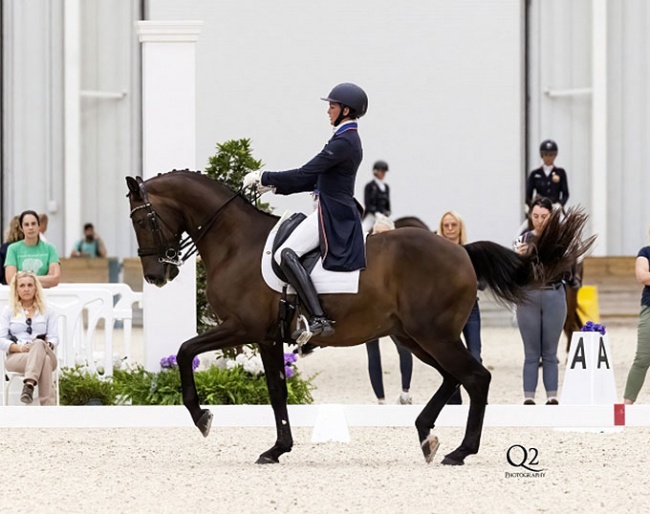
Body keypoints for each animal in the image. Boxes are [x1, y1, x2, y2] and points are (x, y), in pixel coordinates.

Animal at [125, 171, 592, 464]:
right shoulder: (266, 337)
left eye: (144, 219)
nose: (157, 275)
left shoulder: (244, 327)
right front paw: (277, 449)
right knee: (454, 377)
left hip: (433, 334)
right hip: (413, 337)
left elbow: (186, 351)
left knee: (475, 378)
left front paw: (202, 417)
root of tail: (460, 250)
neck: (235, 242)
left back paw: (460, 452)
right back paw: (427, 434)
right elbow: (276, 391)